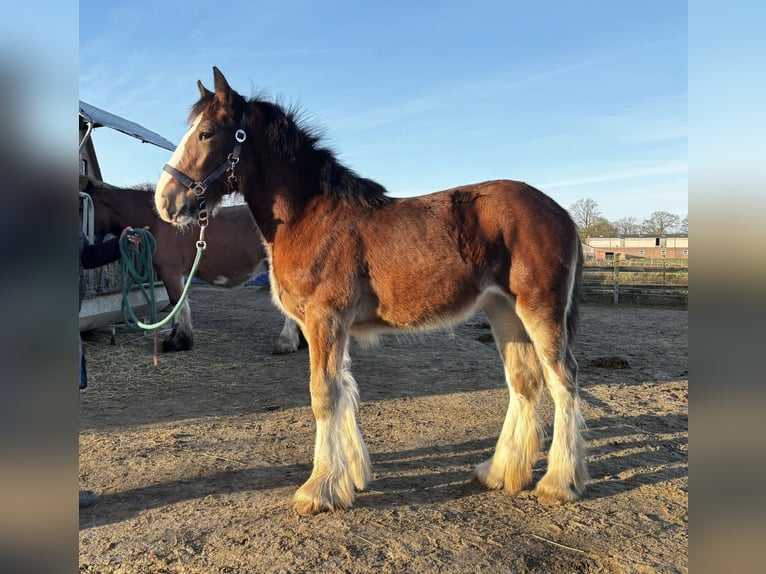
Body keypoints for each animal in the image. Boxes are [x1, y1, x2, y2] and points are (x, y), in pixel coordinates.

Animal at [84, 180, 301, 354]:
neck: (157, 222)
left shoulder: (170, 271)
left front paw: (177, 342)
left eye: (82, 209)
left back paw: (285, 343)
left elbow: (178, 303)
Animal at [154, 67, 587, 515]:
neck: (311, 216)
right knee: (524, 381)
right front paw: (352, 477)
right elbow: (344, 390)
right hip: (504, 310)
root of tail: (560, 212)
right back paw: (501, 472)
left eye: (206, 133)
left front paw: (319, 489)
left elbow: (324, 394)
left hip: (540, 309)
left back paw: (559, 482)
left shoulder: (325, 319)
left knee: (563, 380)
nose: (165, 201)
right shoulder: (333, 326)